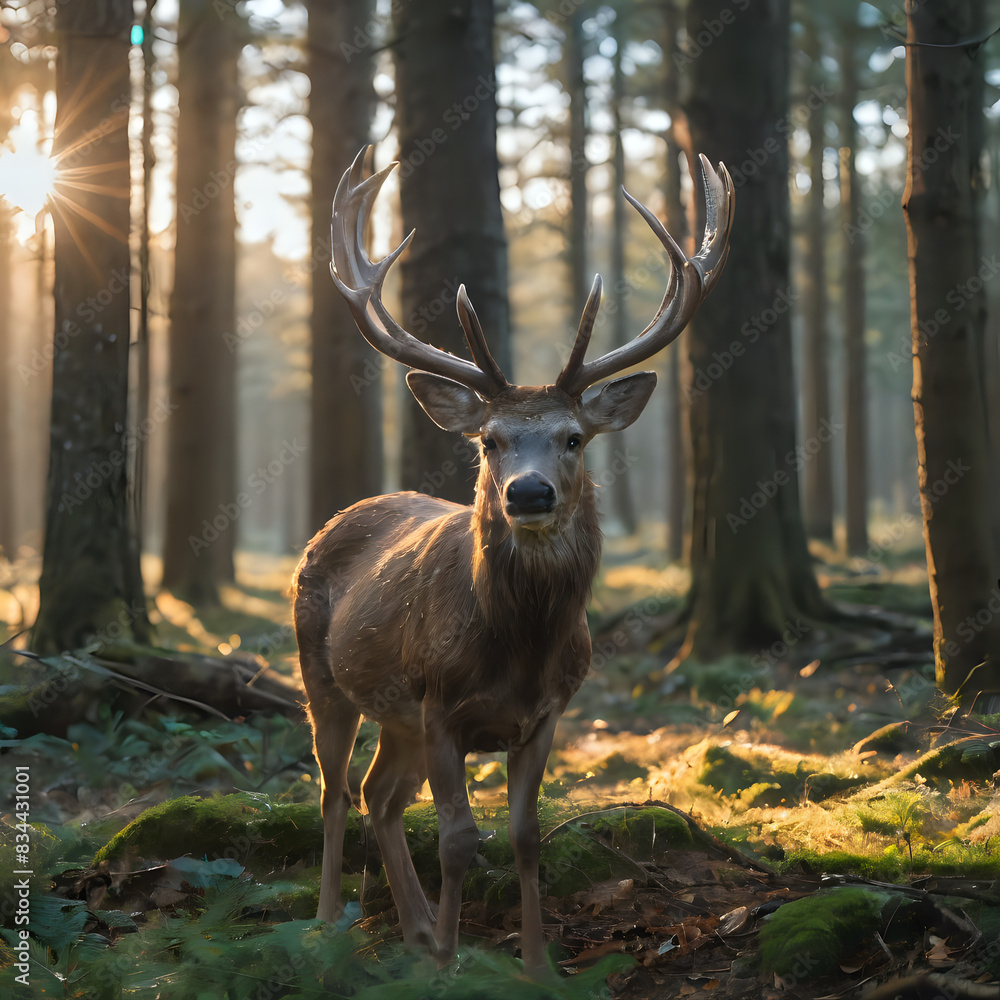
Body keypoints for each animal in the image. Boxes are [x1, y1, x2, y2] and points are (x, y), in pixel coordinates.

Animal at [293, 145, 733, 972]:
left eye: (574, 437)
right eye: (490, 440)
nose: (528, 493)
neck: (517, 650)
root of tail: (333, 521)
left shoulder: (548, 712)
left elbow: (526, 837)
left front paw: (533, 963)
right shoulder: (439, 706)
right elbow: (460, 840)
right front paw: (449, 963)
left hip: (394, 717)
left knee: (378, 795)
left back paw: (414, 927)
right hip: (322, 676)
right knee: (334, 790)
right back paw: (332, 922)